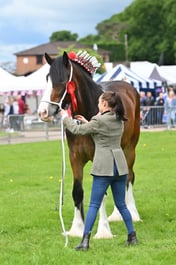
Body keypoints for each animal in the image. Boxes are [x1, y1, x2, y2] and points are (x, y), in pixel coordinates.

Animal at [38, 50, 140, 238]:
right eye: (47, 79)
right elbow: (77, 192)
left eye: (61, 81)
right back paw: (117, 214)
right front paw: (77, 229)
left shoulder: (99, 158)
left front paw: (103, 231)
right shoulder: (75, 158)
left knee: (129, 177)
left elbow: (101, 193)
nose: (43, 112)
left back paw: (133, 213)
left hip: (130, 149)